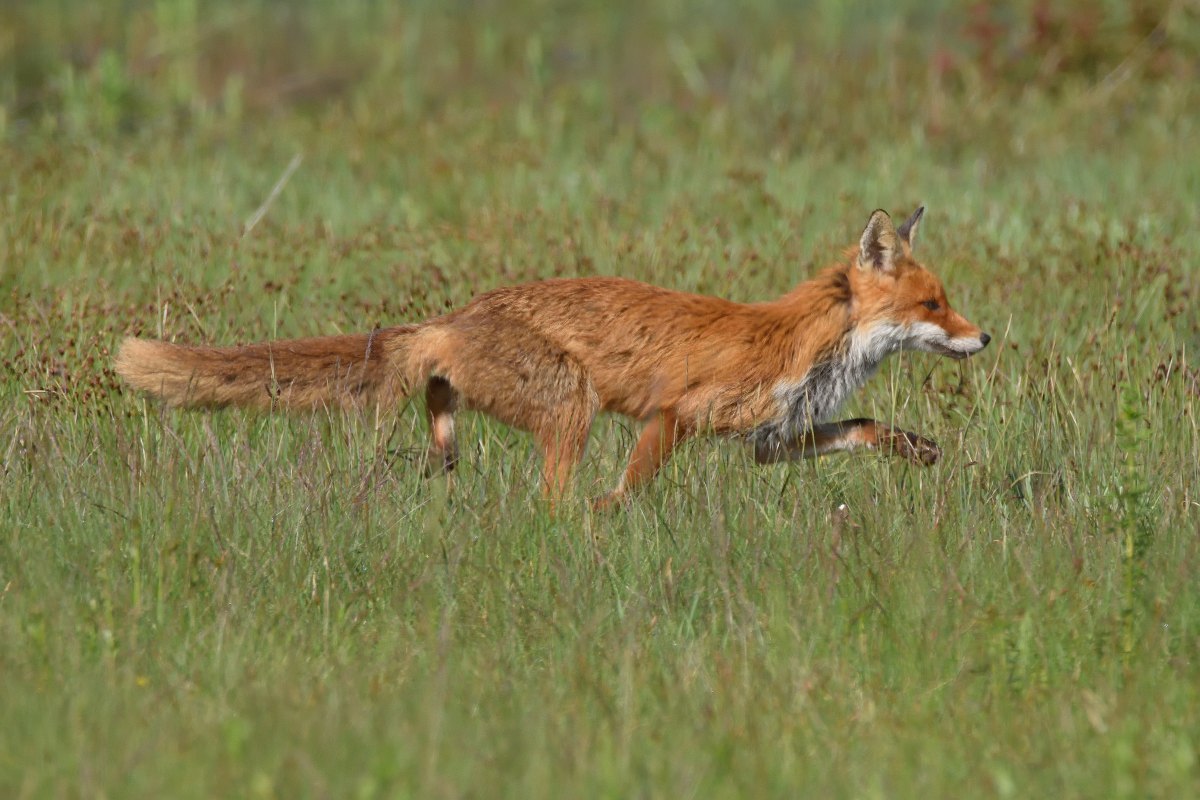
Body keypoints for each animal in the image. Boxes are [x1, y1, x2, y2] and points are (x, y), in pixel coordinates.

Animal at [117, 206, 988, 506]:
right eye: (933, 305)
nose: (985, 338)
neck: (806, 344)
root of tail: (455, 314)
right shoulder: (677, 414)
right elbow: (627, 492)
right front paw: (612, 527)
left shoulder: (771, 440)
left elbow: (865, 428)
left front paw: (917, 448)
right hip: (573, 406)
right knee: (550, 501)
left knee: (440, 400)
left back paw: (440, 452)